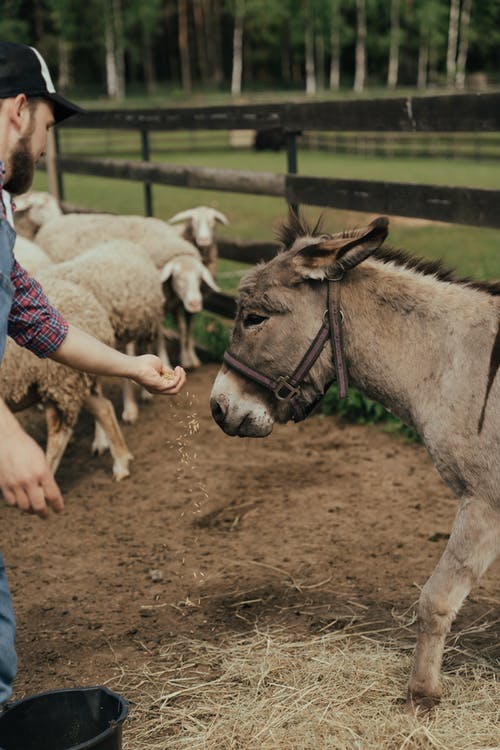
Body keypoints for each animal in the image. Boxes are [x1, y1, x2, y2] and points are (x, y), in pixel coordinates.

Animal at [0, 280, 133, 484]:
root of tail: (91, 305)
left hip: (61, 382)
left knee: (60, 433)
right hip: (68, 382)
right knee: (104, 408)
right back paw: (121, 462)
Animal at [36, 213, 220, 372]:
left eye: (200, 278)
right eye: (178, 277)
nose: (195, 304)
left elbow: (184, 328)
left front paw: (189, 359)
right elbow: (162, 334)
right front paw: (166, 360)